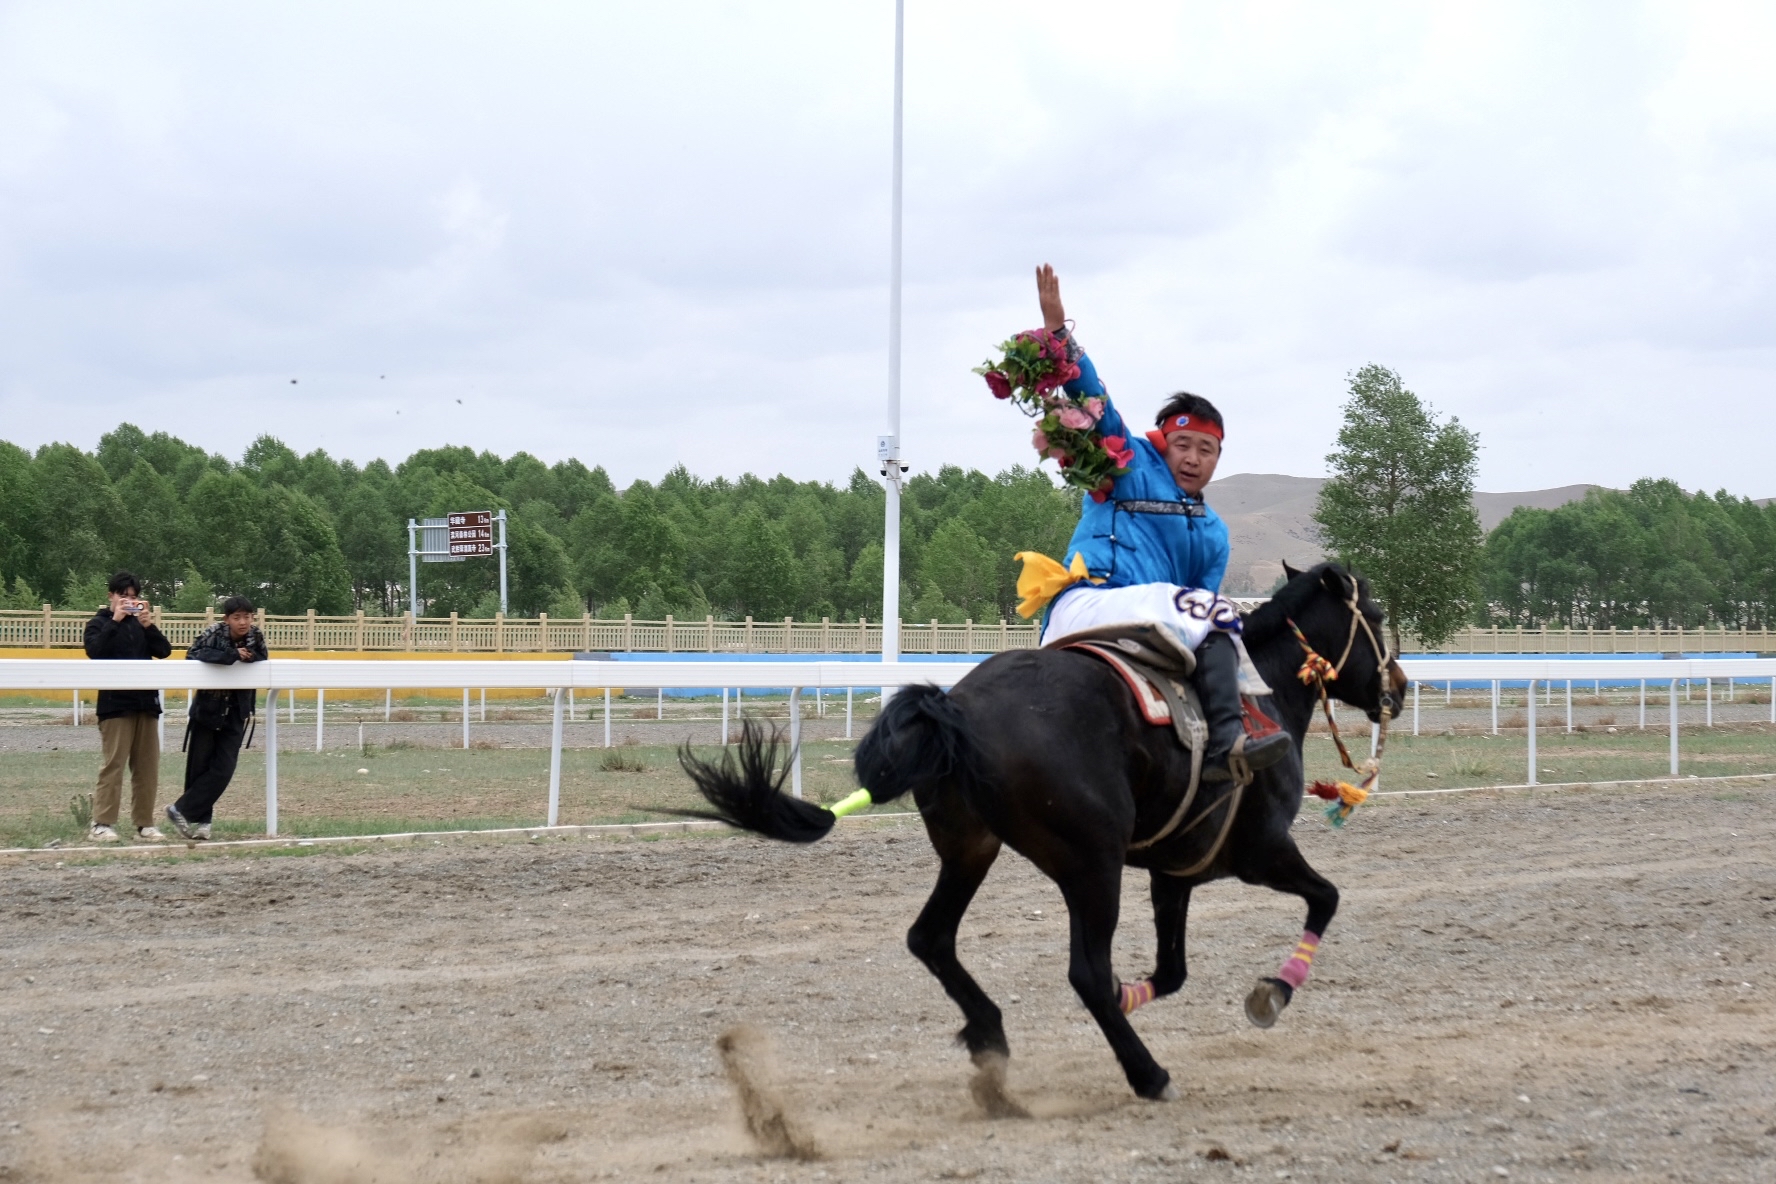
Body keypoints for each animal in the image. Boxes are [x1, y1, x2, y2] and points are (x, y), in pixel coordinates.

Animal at [685, 564, 1406, 1100]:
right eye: (1374, 615)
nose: (1398, 686)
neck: (1264, 694)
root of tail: (958, 706)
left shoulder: (1174, 873)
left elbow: (1172, 970)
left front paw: (1137, 994)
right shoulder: (1262, 852)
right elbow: (1326, 898)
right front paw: (1272, 992)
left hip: (971, 849)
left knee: (931, 938)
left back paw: (990, 1036)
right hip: (1092, 863)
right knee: (1083, 970)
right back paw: (1147, 1074)